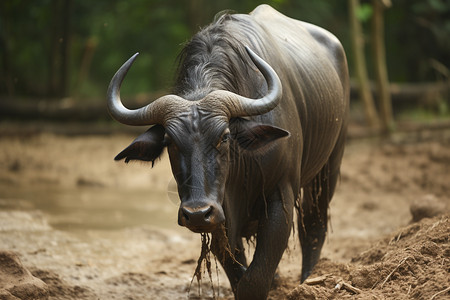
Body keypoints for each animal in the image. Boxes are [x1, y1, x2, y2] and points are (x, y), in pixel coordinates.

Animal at [107, 4, 350, 300]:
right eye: (170, 142)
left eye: (224, 137)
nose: (196, 213)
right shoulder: (220, 215)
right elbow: (239, 273)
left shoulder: (280, 194)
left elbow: (255, 279)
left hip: (329, 166)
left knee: (314, 225)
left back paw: (309, 279)